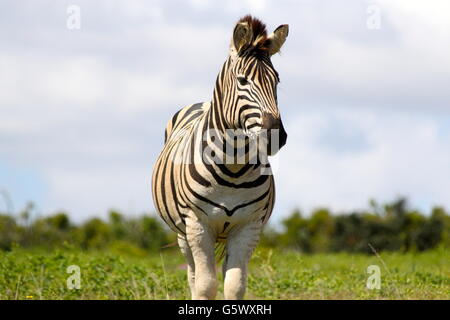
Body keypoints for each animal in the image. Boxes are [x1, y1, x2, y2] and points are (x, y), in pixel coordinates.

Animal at [152, 15, 288, 300]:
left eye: (277, 81)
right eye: (242, 81)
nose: (276, 136)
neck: (232, 168)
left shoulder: (248, 226)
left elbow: (235, 285)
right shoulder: (197, 225)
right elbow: (205, 285)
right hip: (183, 234)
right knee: (193, 275)